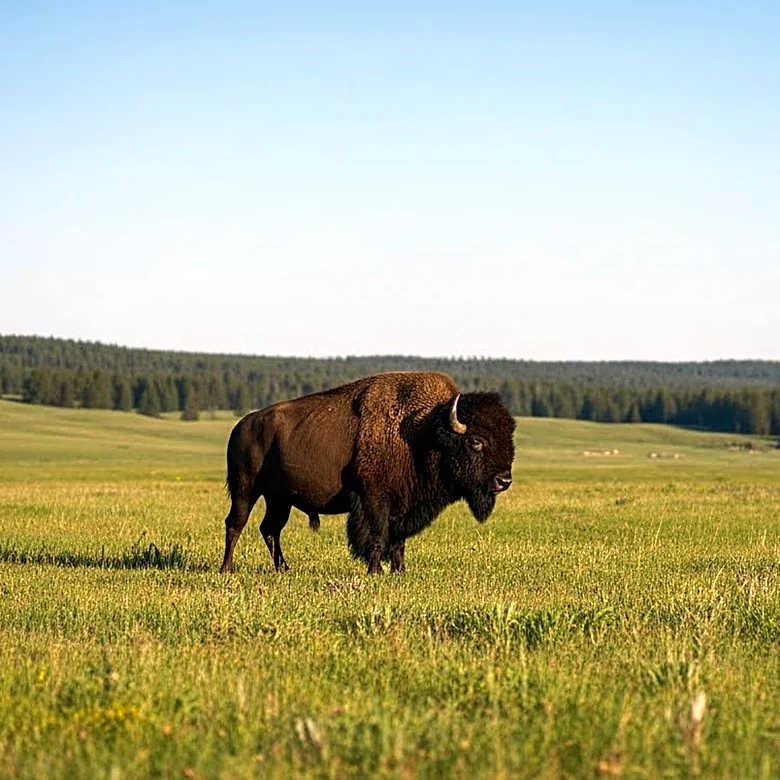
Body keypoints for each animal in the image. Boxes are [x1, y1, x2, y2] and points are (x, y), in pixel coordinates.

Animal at [220, 371, 515, 574]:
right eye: (476, 441)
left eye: (508, 439)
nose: (504, 480)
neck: (424, 432)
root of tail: (242, 426)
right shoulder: (373, 500)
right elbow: (377, 537)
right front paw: (376, 571)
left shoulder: (403, 507)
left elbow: (397, 542)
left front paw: (399, 571)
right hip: (245, 490)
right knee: (236, 523)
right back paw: (227, 569)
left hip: (279, 499)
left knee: (270, 528)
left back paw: (283, 568)